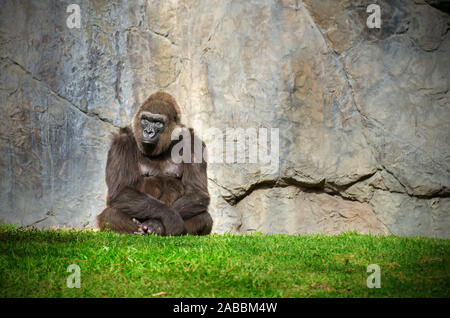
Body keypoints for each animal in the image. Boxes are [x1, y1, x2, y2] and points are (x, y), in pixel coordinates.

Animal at [96, 90, 212, 235]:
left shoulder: (193, 143)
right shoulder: (121, 143)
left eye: (158, 122)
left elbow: (196, 192)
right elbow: (121, 191)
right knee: (110, 215)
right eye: (145, 120)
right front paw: (169, 217)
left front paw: (156, 224)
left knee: (204, 217)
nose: (148, 132)